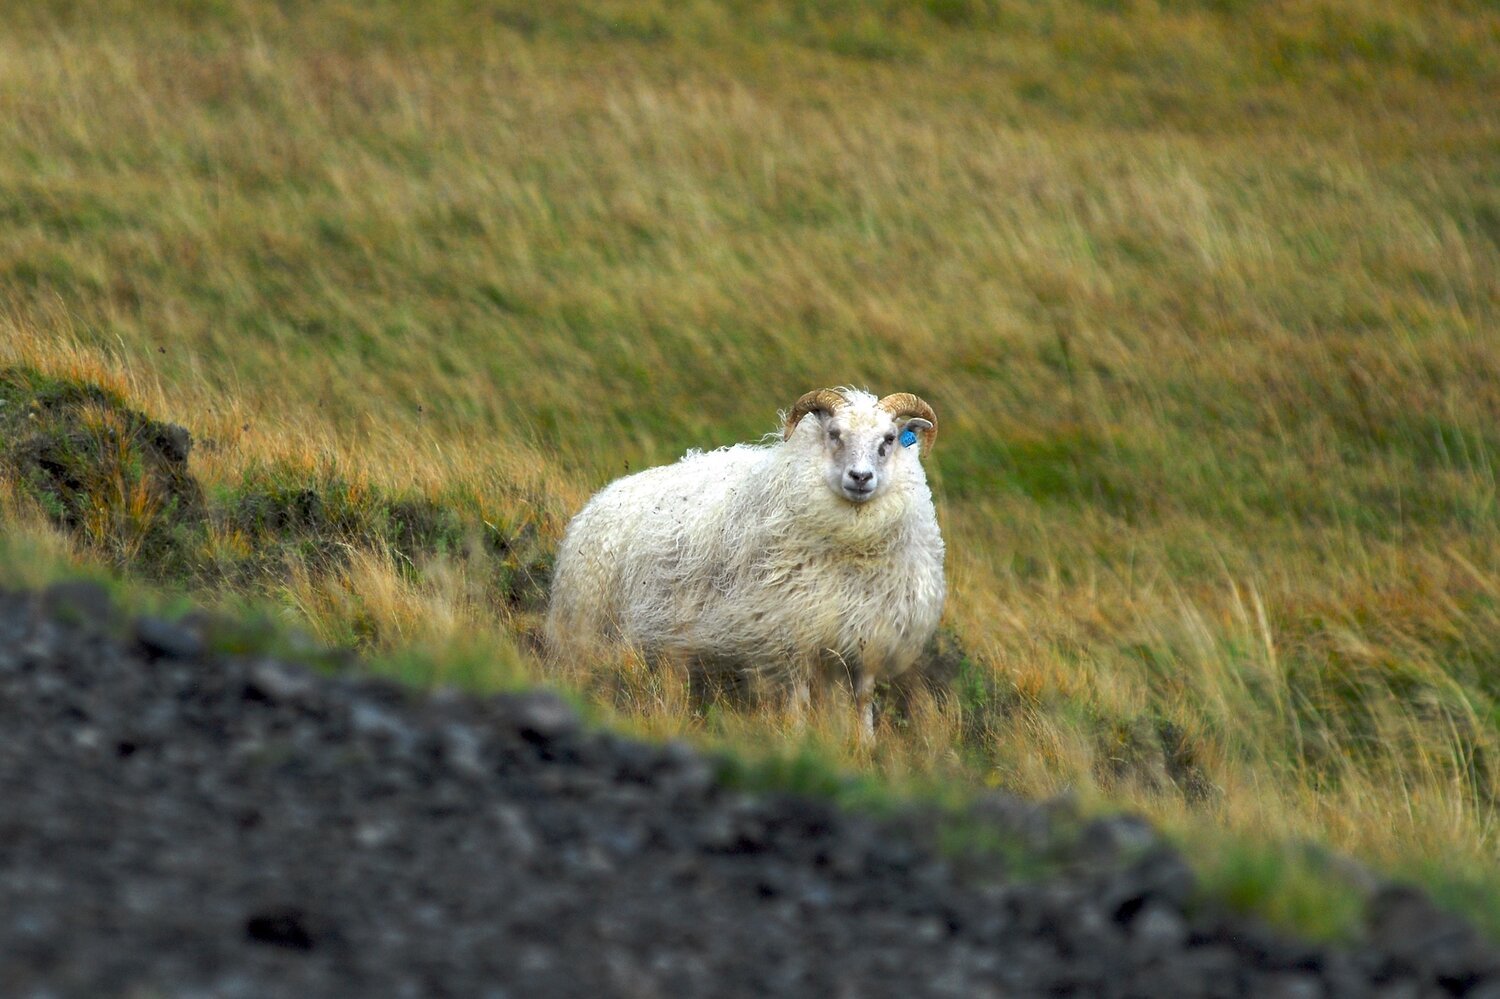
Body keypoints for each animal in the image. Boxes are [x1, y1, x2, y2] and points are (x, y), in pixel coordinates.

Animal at [546, 387, 942, 738]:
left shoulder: (868, 632)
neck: (852, 548)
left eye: (889, 439)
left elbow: (862, 697)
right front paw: (799, 739)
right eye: (834, 434)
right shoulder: (790, 629)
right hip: (593, 628)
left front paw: (865, 745)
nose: (860, 478)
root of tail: (601, 497)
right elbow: (799, 696)